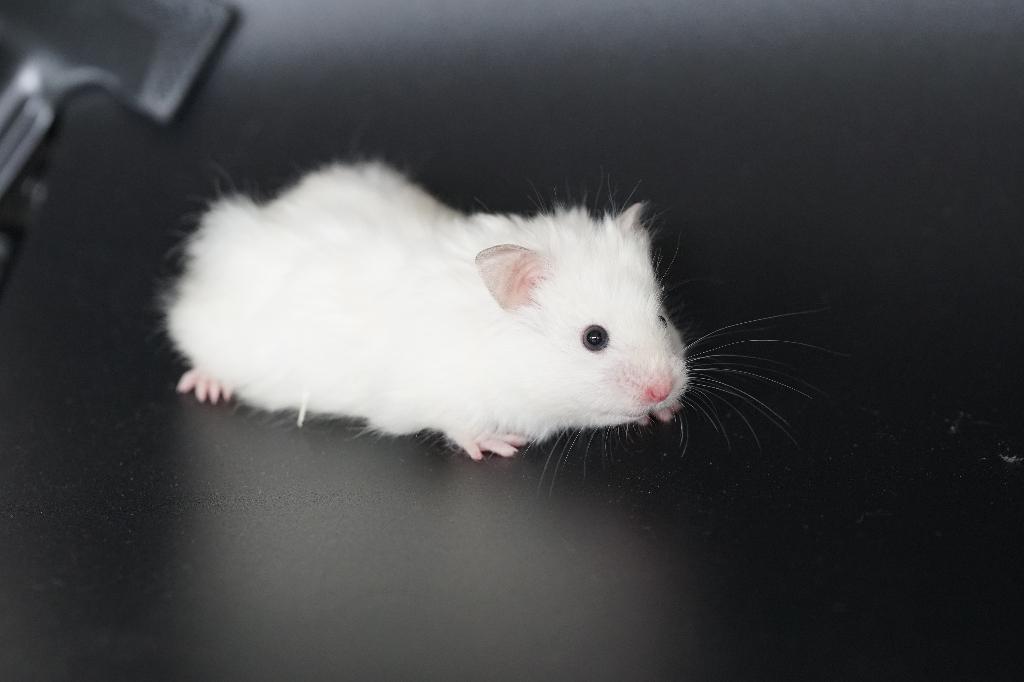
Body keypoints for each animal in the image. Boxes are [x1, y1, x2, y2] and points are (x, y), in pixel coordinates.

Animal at [165, 161, 688, 460]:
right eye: (593, 338)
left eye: (663, 319)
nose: (664, 388)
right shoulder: (438, 395)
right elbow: (462, 425)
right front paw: (500, 446)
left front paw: (665, 412)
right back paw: (205, 385)